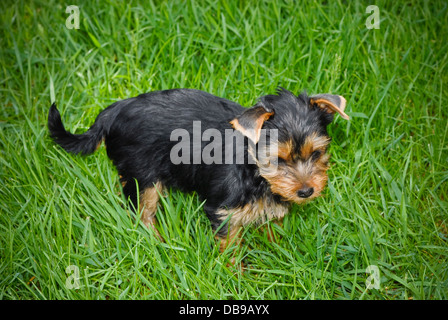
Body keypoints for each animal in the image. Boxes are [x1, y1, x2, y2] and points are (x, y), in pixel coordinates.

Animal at [49, 87, 350, 260]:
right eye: (277, 160)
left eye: (317, 154)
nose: (306, 191)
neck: (255, 174)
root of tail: (115, 110)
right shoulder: (223, 211)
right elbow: (230, 247)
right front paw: (237, 275)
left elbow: (272, 227)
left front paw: (279, 252)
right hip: (144, 175)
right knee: (142, 212)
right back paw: (158, 244)